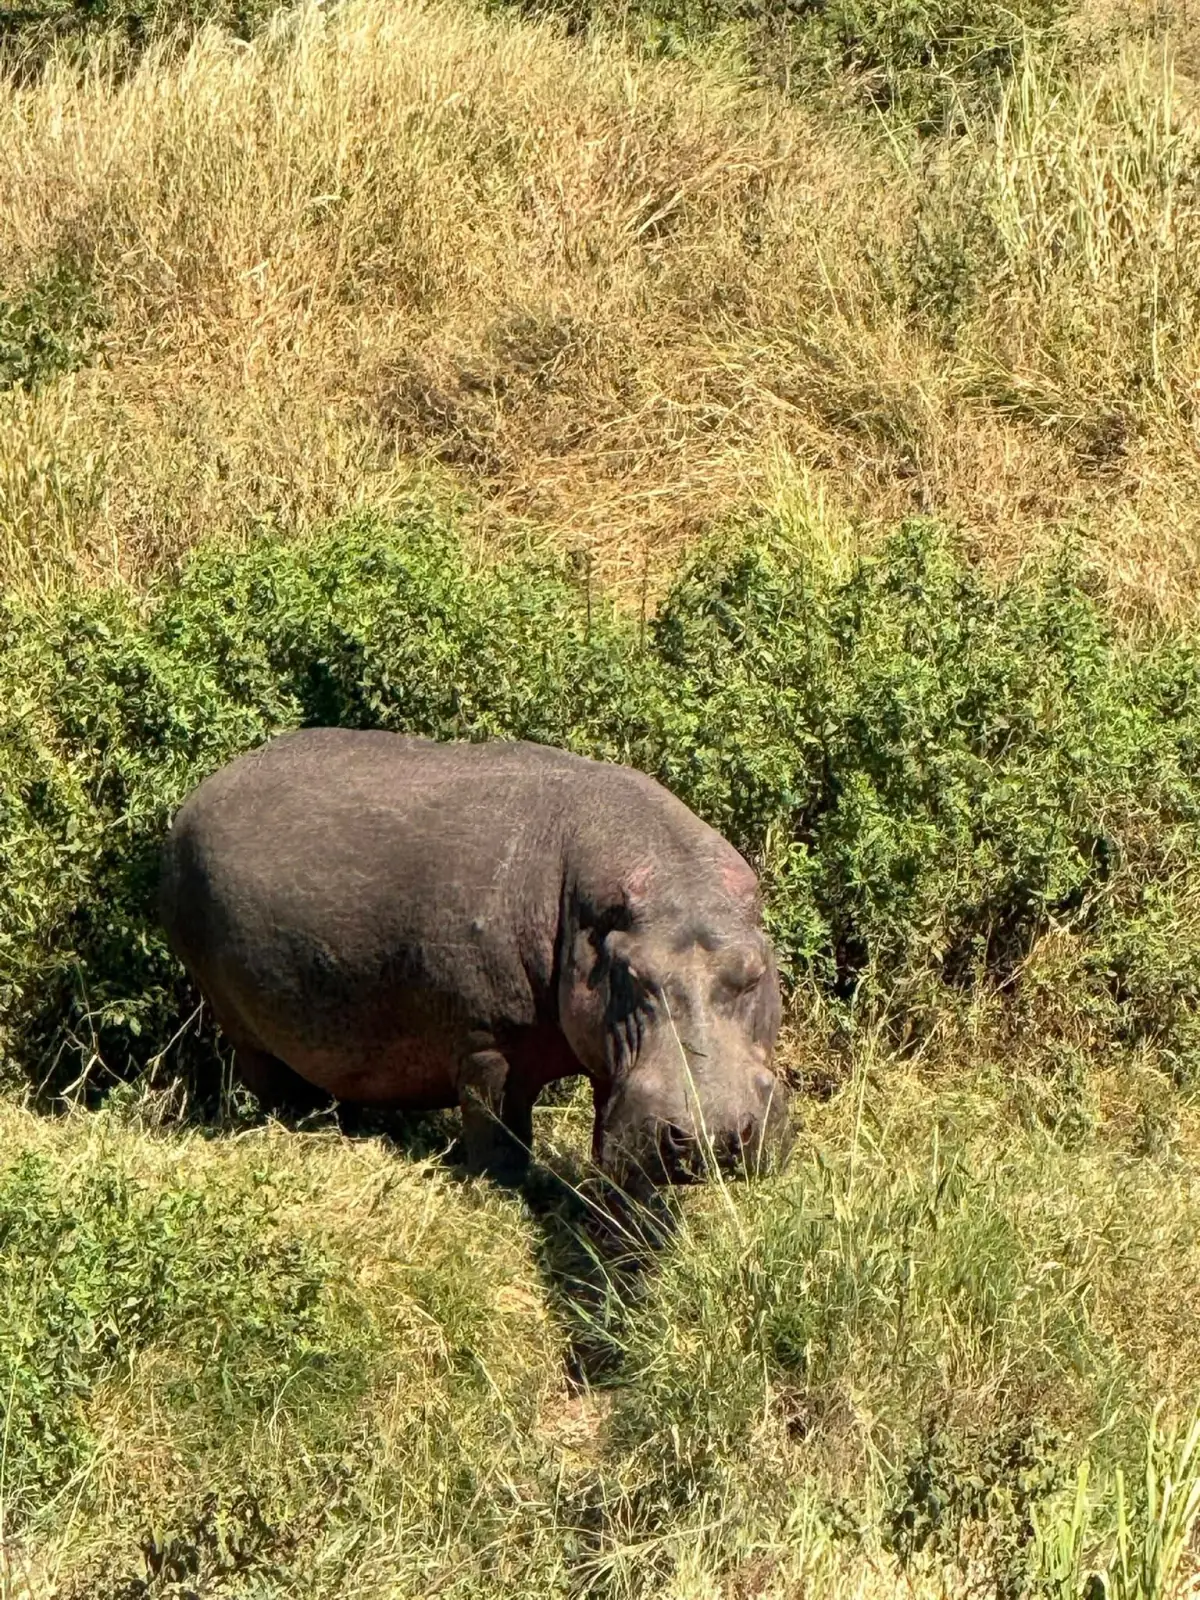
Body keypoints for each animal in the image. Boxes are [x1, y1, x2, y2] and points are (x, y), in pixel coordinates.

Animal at [159, 730, 786, 1188]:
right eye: (633, 974)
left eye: (755, 971)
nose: (714, 1136)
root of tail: (196, 796)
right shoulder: (487, 1042)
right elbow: (498, 1134)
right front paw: (511, 1191)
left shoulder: (608, 1060)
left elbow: (606, 1116)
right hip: (243, 1025)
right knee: (276, 1086)